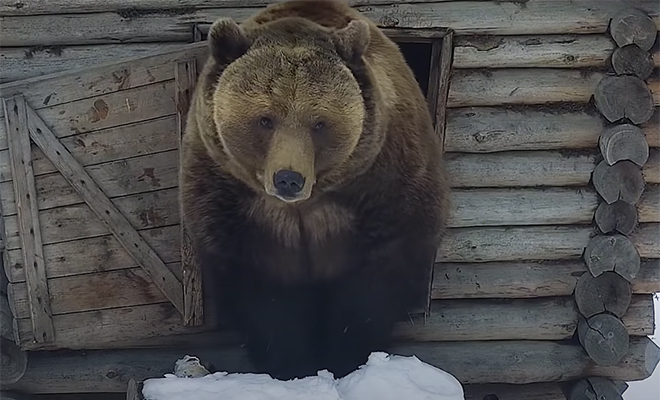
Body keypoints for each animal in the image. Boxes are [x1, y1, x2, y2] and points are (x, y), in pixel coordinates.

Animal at [179, 0, 448, 382]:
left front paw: (345, 358)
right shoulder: (233, 203)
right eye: (265, 118)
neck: (307, 204)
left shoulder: (385, 187)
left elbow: (372, 286)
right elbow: (264, 298)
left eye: (319, 123)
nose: (288, 179)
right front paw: (292, 365)